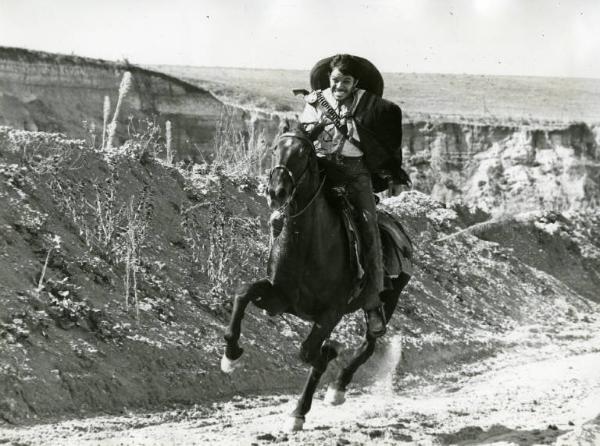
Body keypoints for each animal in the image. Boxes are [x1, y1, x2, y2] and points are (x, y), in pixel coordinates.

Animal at [220, 123, 412, 430]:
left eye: (305, 153)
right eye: (275, 148)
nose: (276, 191)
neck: (309, 244)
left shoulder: (331, 312)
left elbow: (309, 353)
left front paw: (300, 410)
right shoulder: (279, 298)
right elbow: (244, 292)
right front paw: (230, 355)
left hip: (388, 298)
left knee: (370, 341)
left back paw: (338, 388)